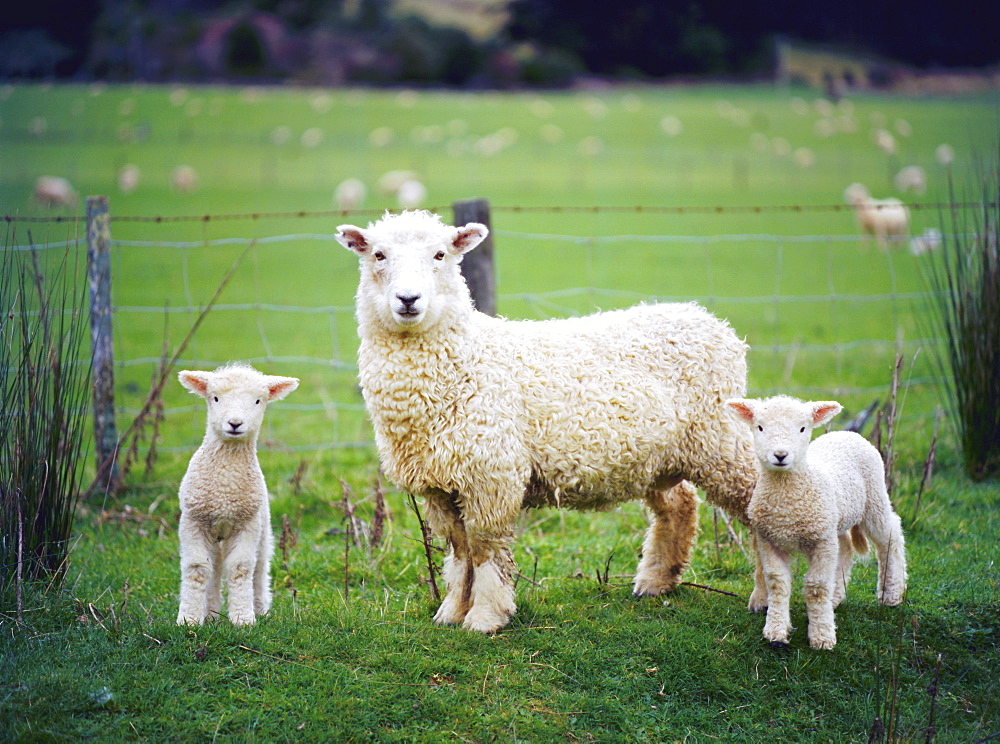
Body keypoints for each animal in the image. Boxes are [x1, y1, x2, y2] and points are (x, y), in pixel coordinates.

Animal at [174, 364, 298, 624]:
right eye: (215, 398)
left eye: (258, 400)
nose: (234, 423)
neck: (225, 487)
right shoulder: (193, 522)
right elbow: (197, 569)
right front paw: (189, 619)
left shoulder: (247, 524)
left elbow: (241, 568)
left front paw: (243, 618)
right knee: (214, 568)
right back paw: (210, 614)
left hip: (263, 529)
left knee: (259, 569)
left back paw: (260, 608)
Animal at [338, 209, 764, 632]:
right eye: (377, 254)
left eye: (441, 254)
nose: (408, 300)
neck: (467, 359)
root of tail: (708, 320)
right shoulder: (441, 484)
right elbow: (460, 550)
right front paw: (451, 612)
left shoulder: (492, 474)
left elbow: (485, 548)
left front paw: (485, 617)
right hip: (657, 455)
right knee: (679, 505)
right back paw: (655, 582)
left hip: (720, 440)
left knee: (757, 507)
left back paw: (762, 597)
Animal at [728, 396, 908, 652]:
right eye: (760, 427)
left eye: (803, 428)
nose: (780, 455)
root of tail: (847, 433)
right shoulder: (769, 539)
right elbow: (777, 583)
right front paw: (776, 631)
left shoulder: (821, 541)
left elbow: (816, 587)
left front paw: (822, 637)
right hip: (834, 518)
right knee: (845, 549)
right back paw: (836, 598)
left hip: (874, 498)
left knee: (890, 535)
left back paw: (891, 593)